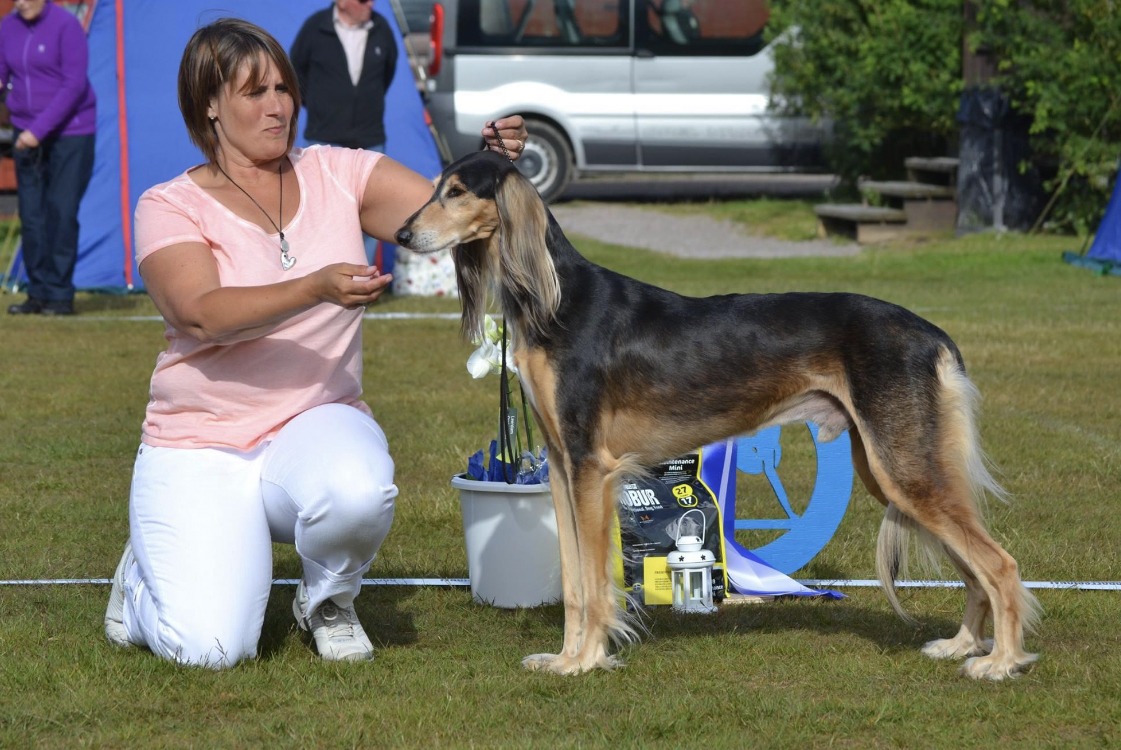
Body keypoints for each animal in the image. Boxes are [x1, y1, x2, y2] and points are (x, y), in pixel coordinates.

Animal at [396, 150, 1040, 677]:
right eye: (435, 187)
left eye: (457, 191)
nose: (402, 232)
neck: (556, 300)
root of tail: (932, 333)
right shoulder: (561, 464)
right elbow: (575, 582)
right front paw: (564, 657)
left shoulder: (591, 468)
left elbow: (595, 584)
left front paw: (586, 661)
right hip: (894, 473)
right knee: (974, 566)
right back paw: (962, 645)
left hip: (903, 468)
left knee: (1001, 565)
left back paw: (1001, 661)